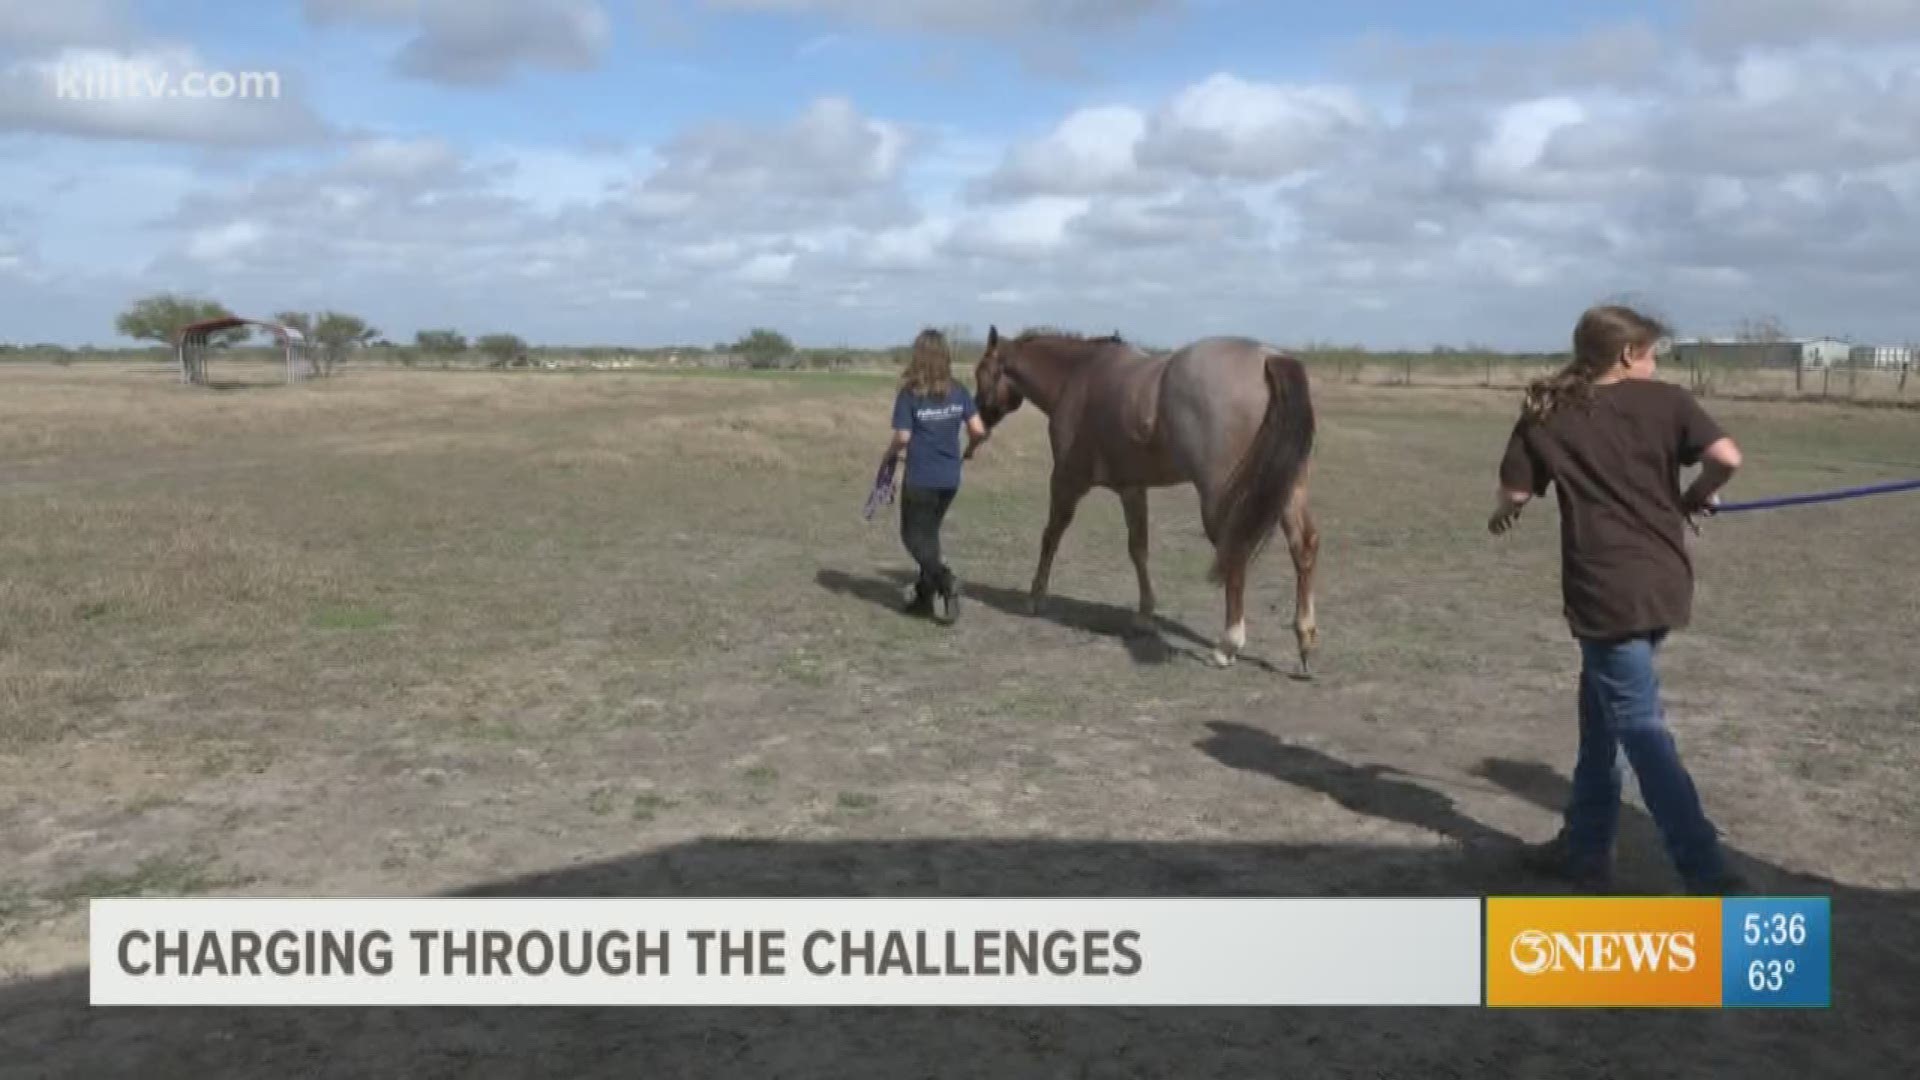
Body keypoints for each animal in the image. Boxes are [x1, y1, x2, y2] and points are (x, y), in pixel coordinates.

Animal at [975, 322, 1320, 668]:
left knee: (1234, 550)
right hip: (1289, 490)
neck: (1078, 375)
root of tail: (1269, 358)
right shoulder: (1132, 488)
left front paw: (1035, 597)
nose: (977, 425)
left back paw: (1228, 644)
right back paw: (1304, 639)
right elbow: (1138, 549)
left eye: (981, 373)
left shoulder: (1066, 481)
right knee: (1303, 546)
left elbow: (1051, 537)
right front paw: (1144, 616)